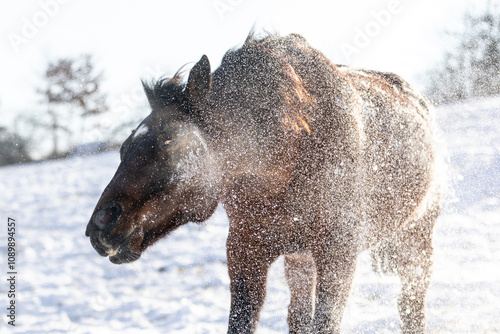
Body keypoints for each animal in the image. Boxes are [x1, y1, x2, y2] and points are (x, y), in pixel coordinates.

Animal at [86, 32, 442, 332]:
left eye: (167, 144)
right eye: (123, 148)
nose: (100, 226)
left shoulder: (338, 253)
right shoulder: (246, 250)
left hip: (417, 239)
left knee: (411, 308)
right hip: (300, 260)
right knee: (298, 314)